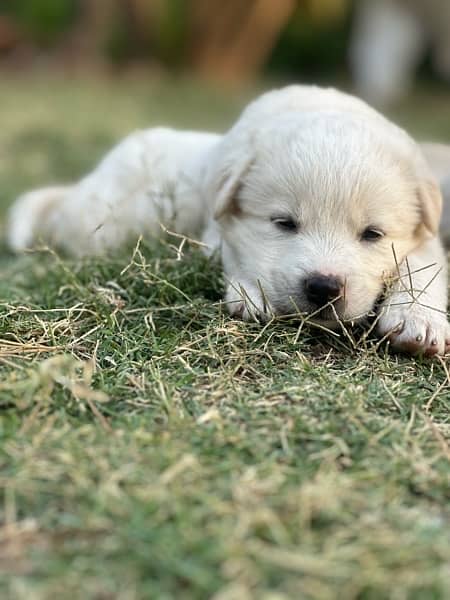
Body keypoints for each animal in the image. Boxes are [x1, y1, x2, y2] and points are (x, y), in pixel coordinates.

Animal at [7, 86, 450, 354]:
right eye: (283, 223)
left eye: (372, 234)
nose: (324, 287)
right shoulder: (216, 227)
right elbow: (242, 250)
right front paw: (251, 292)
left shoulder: (424, 235)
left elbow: (423, 265)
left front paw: (418, 320)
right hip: (103, 219)